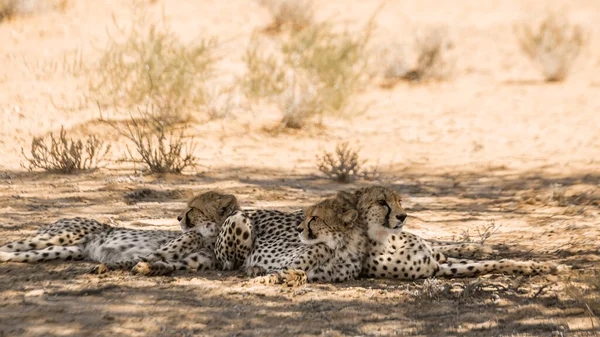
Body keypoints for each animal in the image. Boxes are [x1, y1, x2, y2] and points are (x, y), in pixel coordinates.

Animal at [0, 190, 239, 274]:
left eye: (193, 209)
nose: (179, 218)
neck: (210, 236)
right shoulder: (158, 251)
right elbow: (141, 258)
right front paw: (105, 267)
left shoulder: (190, 262)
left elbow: (163, 264)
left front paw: (147, 270)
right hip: (57, 236)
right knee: (8, 245)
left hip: (62, 250)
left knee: (18, 254)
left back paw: (5, 258)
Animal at [344, 185, 560, 280]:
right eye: (381, 202)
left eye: (399, 201)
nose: (403, 216)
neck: (385, 239)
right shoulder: (437, 268)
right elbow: (483, 265)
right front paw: (534, 267)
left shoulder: (434, 261)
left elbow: (496, 261)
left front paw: (540, 265)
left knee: (436, 244)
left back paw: (479, 247)